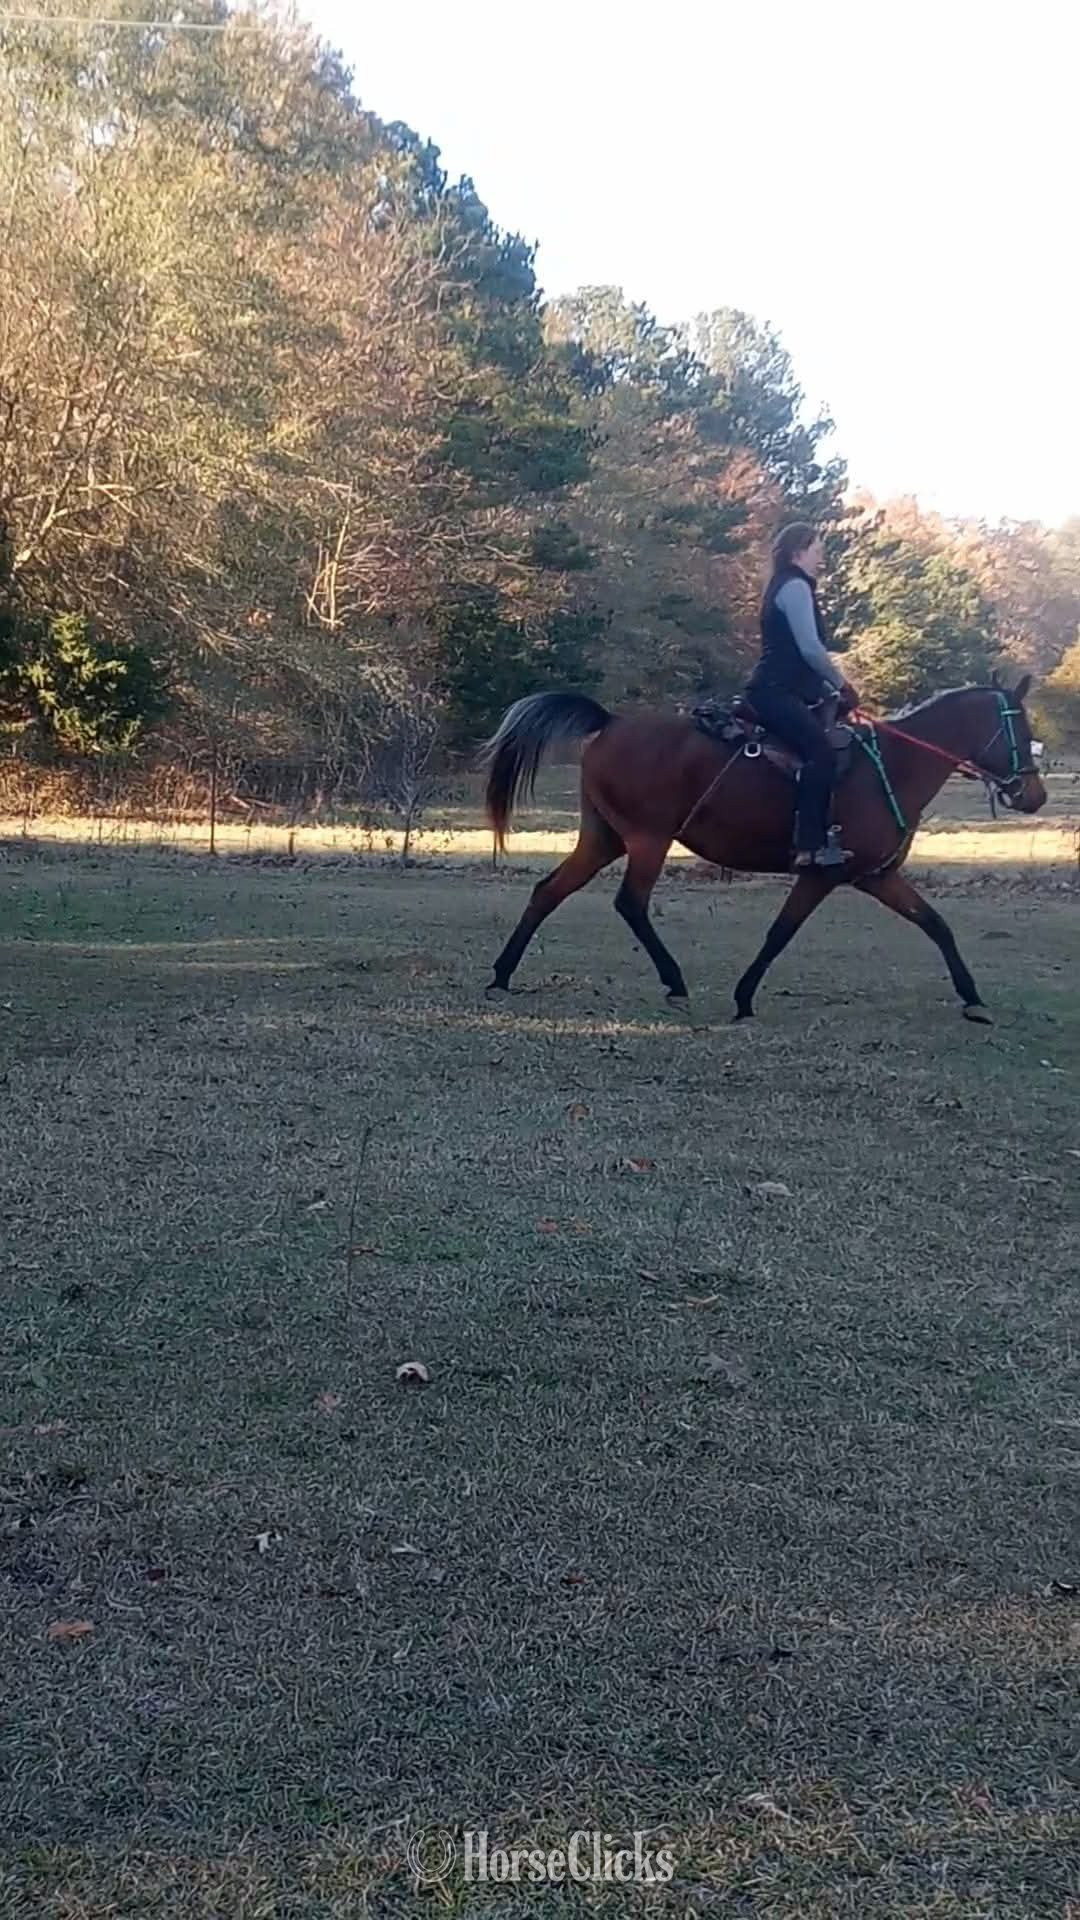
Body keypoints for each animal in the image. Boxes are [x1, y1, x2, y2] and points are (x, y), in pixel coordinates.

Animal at [479, 675, 1046, 1023]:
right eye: (1018, 728)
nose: (1033, 795)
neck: (893, 765)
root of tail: (611, 721)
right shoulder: (823, 874)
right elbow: (780, 933)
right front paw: (744, 996)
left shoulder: (876, 876)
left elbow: (935, 925)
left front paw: (972, 998)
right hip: (647, 839)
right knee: (630, 904)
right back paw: (674, 980)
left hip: (605, 837)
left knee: (549, 891)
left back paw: (503, 973)